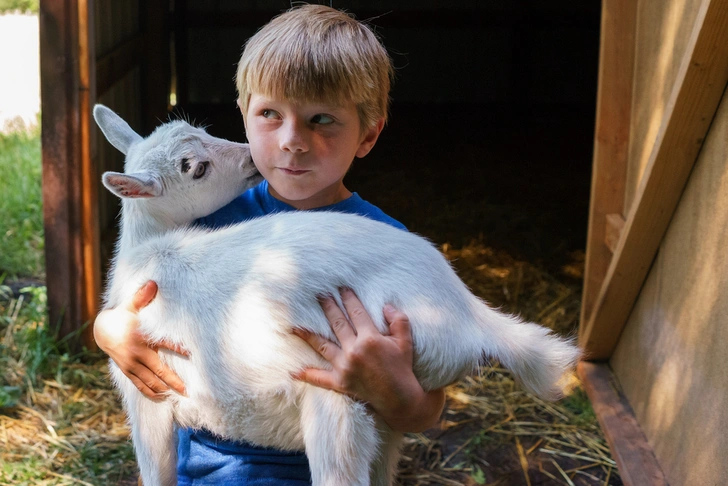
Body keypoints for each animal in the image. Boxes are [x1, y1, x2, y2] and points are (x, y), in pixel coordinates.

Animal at [95, 105, 580, 486]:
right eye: (196, 167)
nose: (252, 155)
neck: (145, 255)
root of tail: (467, 312)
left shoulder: (148, 394)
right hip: (384, 416)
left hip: (339, 396)